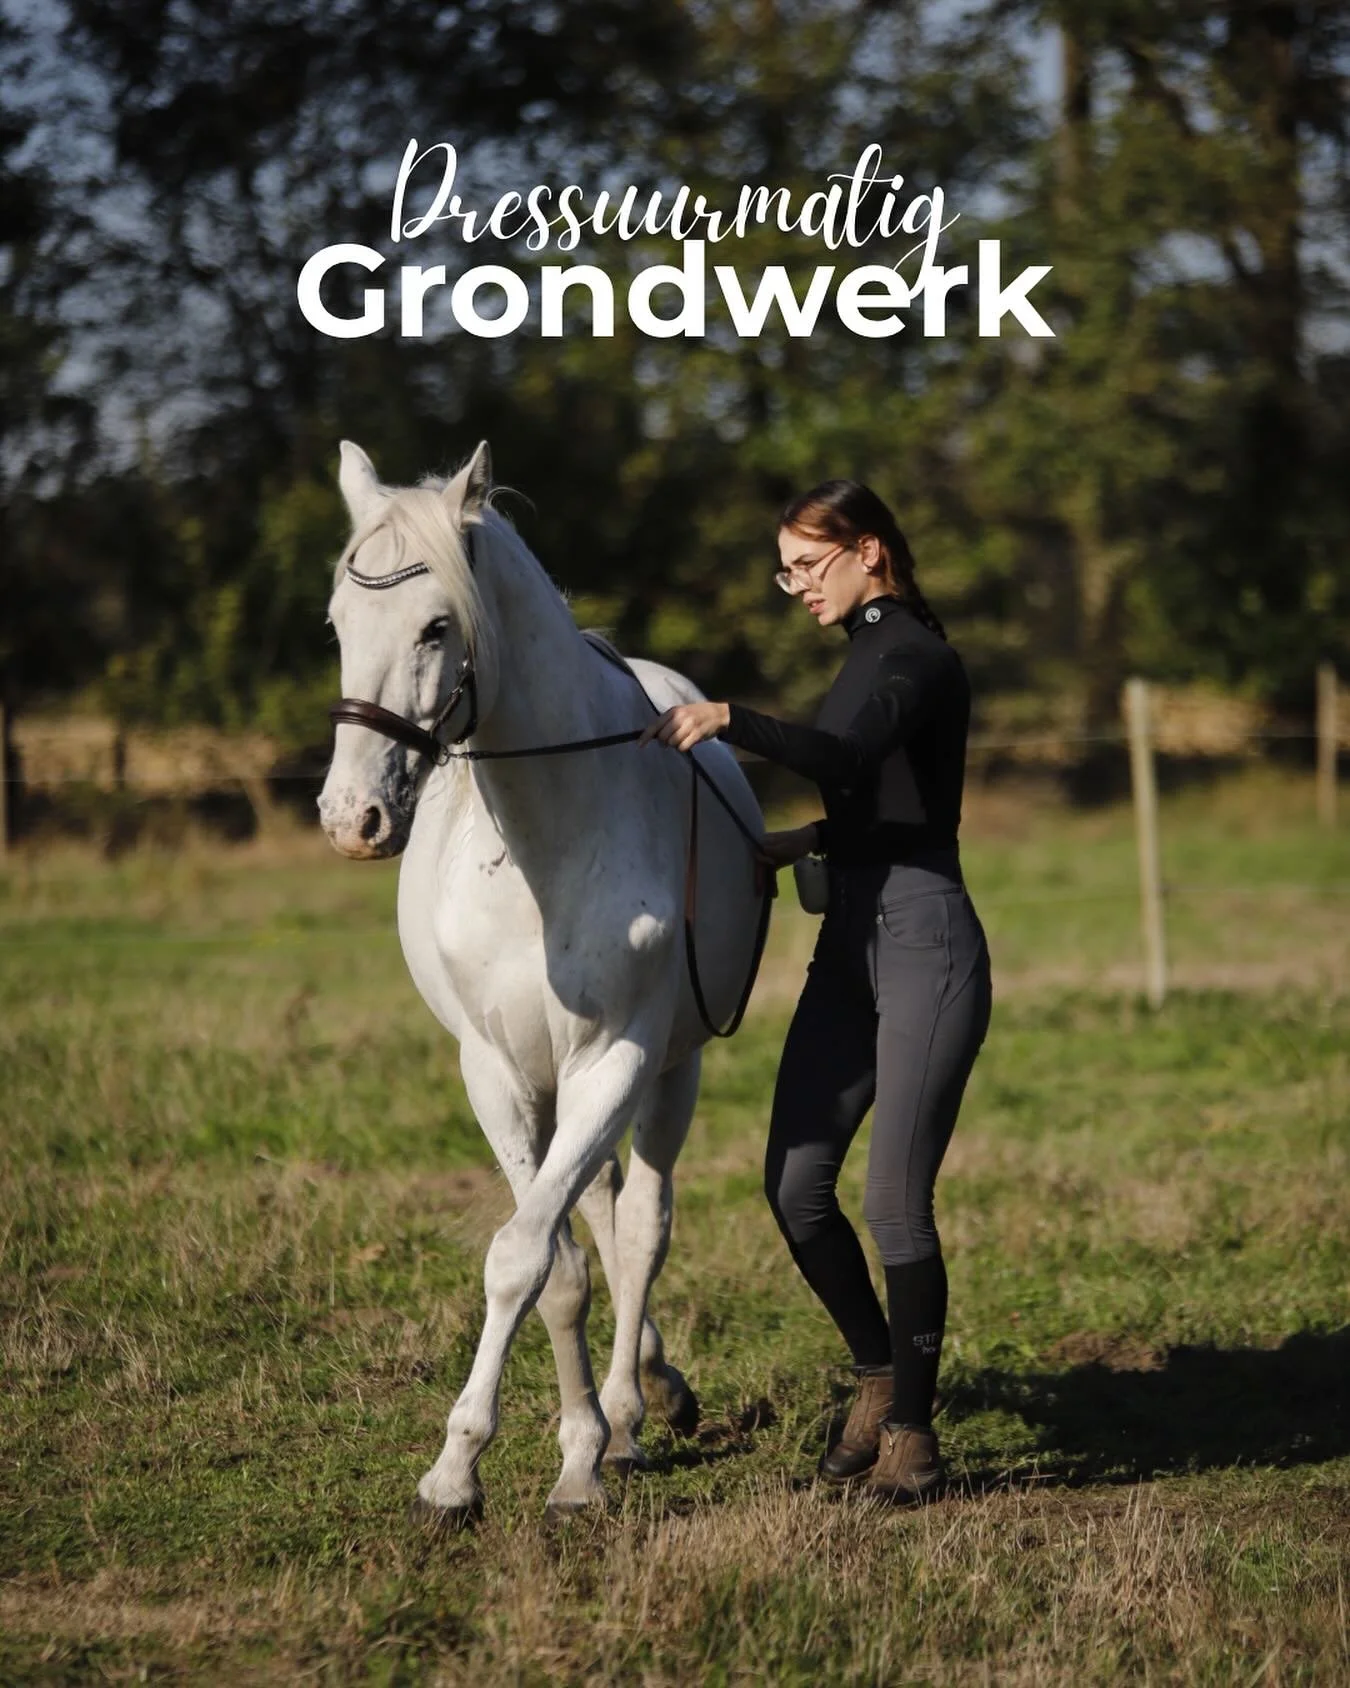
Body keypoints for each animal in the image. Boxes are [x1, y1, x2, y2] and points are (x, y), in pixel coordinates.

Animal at [317, 440, 771, 1523]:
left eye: (437, 626)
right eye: (339, 624)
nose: (352, 817)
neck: (543, 842)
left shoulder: (620, 1059)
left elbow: (528, 1253)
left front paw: (539, 1458)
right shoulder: (498, 1073)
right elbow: (555, 1265)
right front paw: (531, 1454)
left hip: (670, 1074)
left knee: (639, 1225)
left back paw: (636, 1410)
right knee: (596, 1220)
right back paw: (641, 1392)